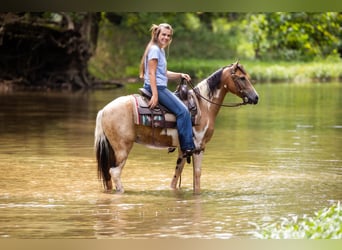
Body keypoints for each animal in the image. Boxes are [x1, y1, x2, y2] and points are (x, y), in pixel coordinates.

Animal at [95, 61, 258, 194]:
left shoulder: (183, 149)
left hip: (112, 149)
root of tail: (104, 110)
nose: (256, 97)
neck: (204, 106)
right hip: (122, 148)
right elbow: (197, 176)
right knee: (115, 173)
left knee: (108, 175)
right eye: (242, 78)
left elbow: (176, 177)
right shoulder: (199, 148)